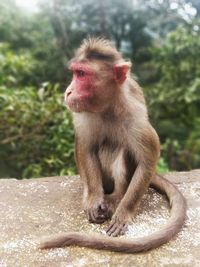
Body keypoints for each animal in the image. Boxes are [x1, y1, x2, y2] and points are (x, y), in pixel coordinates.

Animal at [39, 37, 187, 253]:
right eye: (75, 73)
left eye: (82, 74)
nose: (68, 91)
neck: (108, 107)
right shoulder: (83, 115)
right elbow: (87, 148)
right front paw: (94, 199)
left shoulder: (136, 116)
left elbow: (146, 161)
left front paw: (124, 212)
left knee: (120, 148)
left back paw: (116, 197)